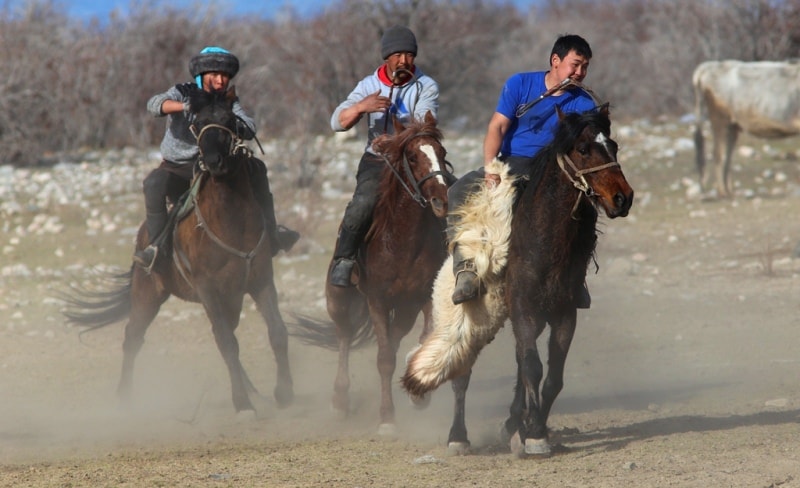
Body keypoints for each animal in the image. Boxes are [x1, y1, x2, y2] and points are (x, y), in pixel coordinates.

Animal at [296, 111, 454, 434]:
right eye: (412, 157)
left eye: (442, 153)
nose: (441, 201)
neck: (404, 241)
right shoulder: (377, 301)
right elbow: (384, 359)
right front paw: (387, 418)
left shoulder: (415, 302)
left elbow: (407, 343)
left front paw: (416, 394)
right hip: (338, 300)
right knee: (344, 336)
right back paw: (339, 400)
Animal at [404, 105, 636, 456]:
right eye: (583, 149)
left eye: (614, 146)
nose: (623, 198)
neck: (543, 243)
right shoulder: (524, 310)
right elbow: (533, 367)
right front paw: (536, 435)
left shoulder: (563, 315)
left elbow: (551, 377)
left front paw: (531, 429)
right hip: (466, 321)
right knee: (461, 373)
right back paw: (458, 437)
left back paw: (513, 424)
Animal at [692, 61, 796, 196]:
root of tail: (710, 65)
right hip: (719, 119)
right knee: (718, 154)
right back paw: (722, 192)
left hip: (732, 126)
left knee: (728, 155)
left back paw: (729, 190)